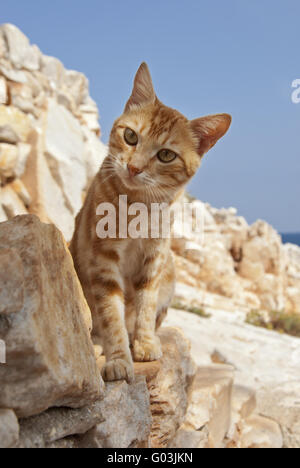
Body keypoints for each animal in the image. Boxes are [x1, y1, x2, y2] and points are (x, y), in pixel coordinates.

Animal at [69, 62, 231, 382]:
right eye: (131, 136)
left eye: (166, 155)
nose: (134, 167)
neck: (139, 207)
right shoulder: (103, 258)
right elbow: (111, 312)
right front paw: (118, 357)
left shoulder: (154, 259)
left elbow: (146, 305)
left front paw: (144, 343)